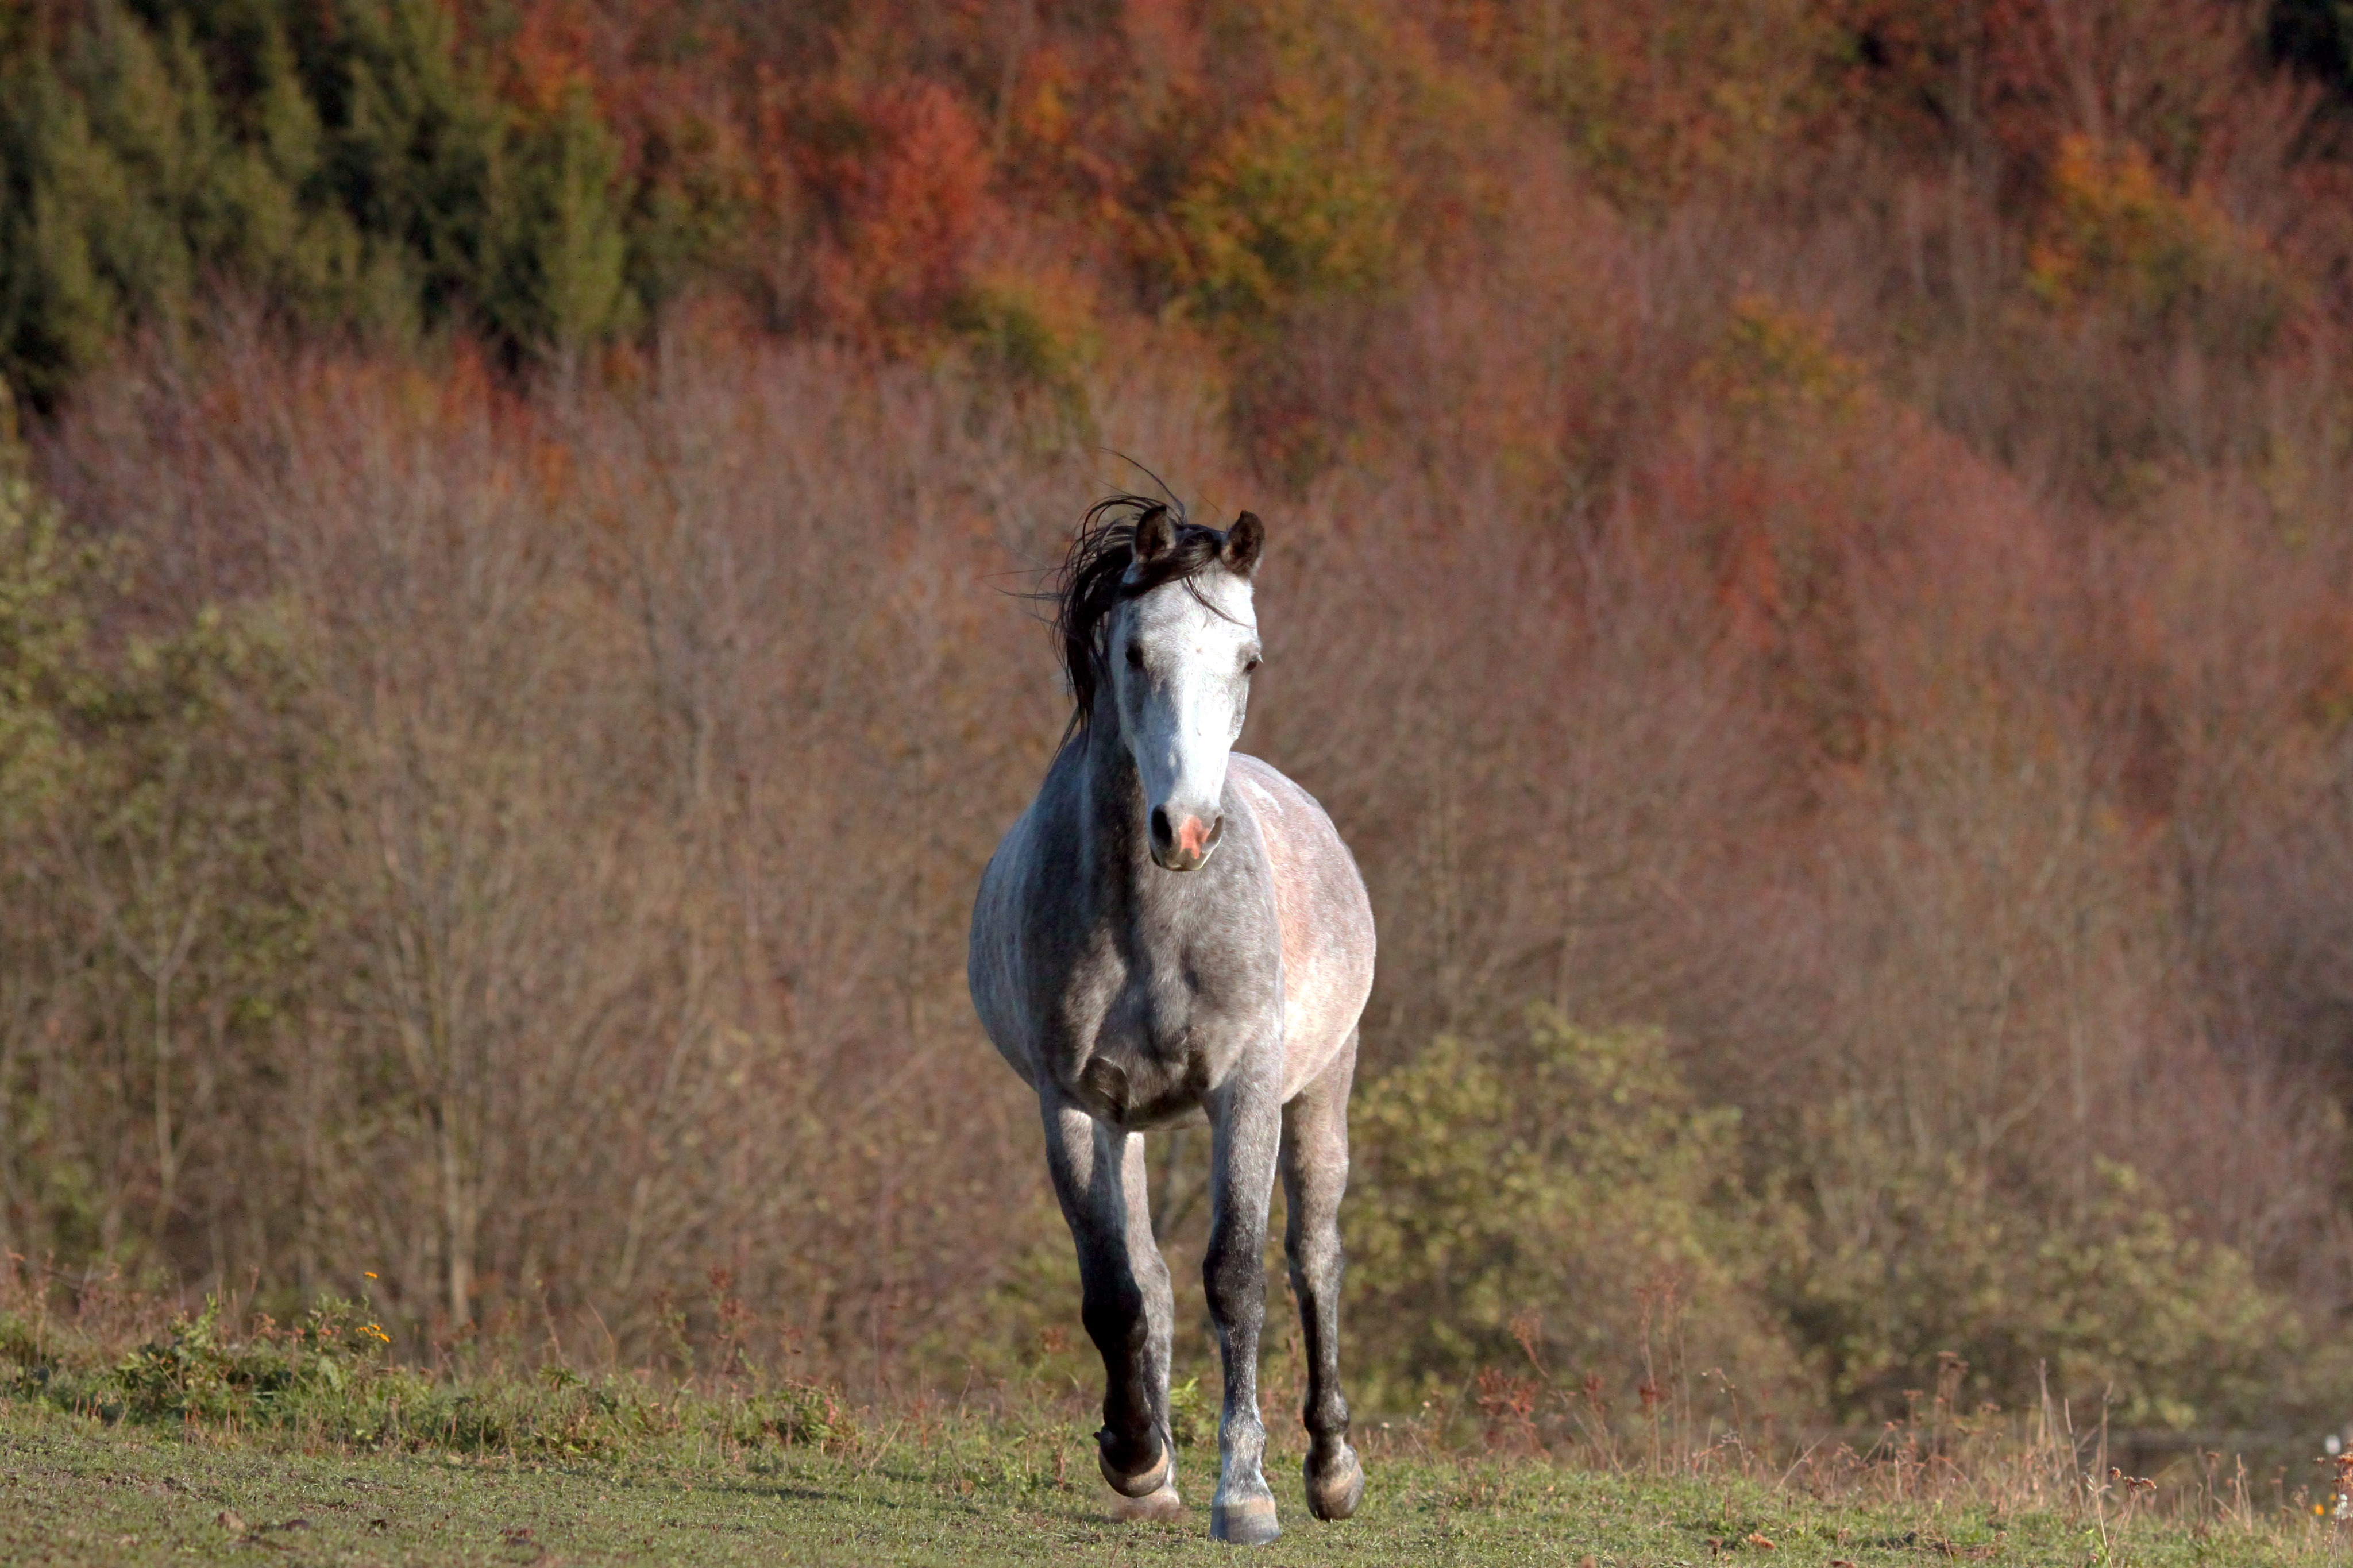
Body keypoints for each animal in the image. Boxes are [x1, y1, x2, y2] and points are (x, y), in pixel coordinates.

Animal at [974, 500, 1374, 1542]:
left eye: (1250, 659)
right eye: (1134, 652)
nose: (1186, 831)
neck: (1150, 921)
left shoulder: (1248, 1092)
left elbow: (1236, 1275)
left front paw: (1247, 1492)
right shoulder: (1075, 1106)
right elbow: (1116, 1291)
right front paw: (1137, 1456)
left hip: (1324, 1089)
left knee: (1314, 1257)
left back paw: (1331, 1468)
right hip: (1132, 1125)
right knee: (1146, 1274)